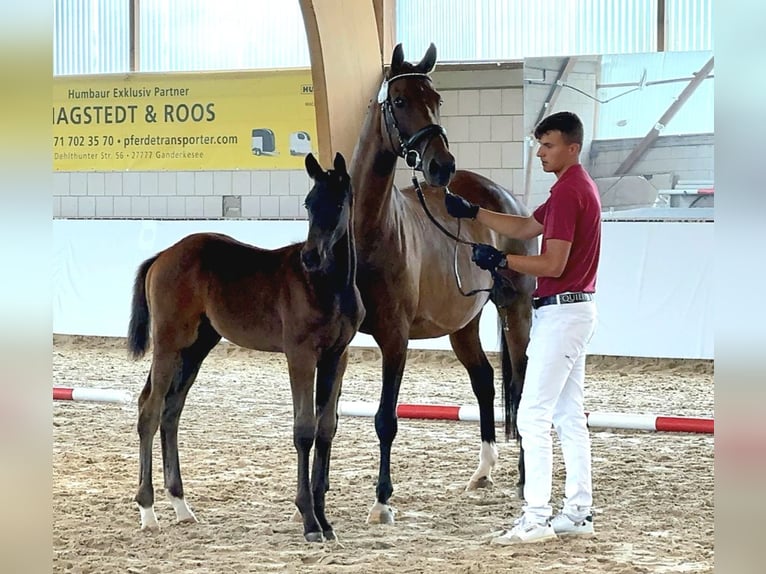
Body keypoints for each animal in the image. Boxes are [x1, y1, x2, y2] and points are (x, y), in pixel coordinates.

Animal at [127, 152, 364, 542]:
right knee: (150, 408)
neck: (327, 285)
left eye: (339, 203)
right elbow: (304, 429)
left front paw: (325, 521)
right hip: (169, 342)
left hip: (197, 346)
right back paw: (148, 511)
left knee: (171, 411)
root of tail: (162, 255)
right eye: (309, 203)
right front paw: (309, 521)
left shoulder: (336, 356)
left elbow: (326, 428)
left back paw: (181, 505)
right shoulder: (300, 355)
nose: (310, 257)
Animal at [348, 43, 537, 524]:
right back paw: (484, 470)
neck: (368, 231)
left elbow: (385, 419)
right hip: (463, 323)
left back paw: (526, 477)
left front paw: (382, 501)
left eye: (437, 100)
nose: (442, 166)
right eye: (399, 101)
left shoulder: (395, 338)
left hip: (517, 310)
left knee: (523, 385)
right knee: (485, 380)